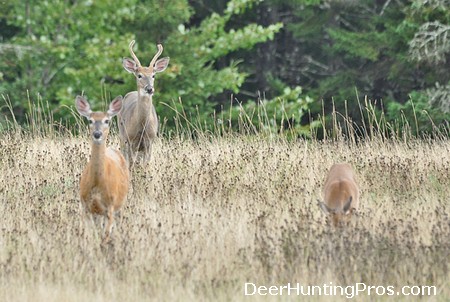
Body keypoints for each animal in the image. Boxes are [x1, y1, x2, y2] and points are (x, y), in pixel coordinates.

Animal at [74, 95, 129, 244]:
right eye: (90, 120)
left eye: (107, 121)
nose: (97, 134)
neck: (98, 184)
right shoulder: (85, 206)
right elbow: (91, 235)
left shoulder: (110, 205)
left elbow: (105, 236)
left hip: (121, 203)